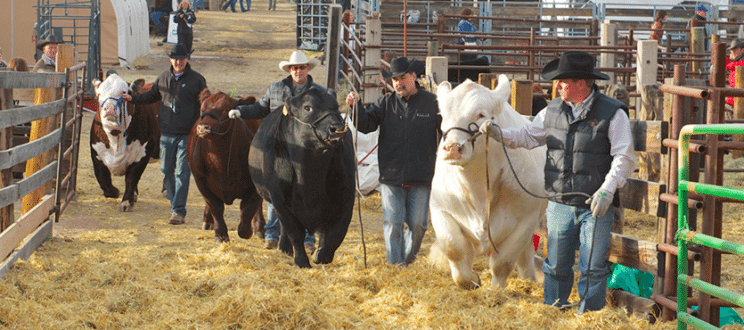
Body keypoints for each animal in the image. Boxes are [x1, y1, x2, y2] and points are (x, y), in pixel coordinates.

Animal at [185, 89, 264, 242]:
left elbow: (248, 208)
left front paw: (246, 231)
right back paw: (207, 221)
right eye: (202, 108)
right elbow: (215, 207)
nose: (202, 128)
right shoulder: (201, 181)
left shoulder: (256, 184)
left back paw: (259, 228)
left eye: (226, 110)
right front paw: (221, 235)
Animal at [248, 87, 356, 268]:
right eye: (307, 108)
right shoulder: (279, 199)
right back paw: (284, 248)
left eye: (336, 107)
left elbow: (337, 232)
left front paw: (321, 255)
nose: (337, 128)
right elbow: (294, 231)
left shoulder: (346, 198)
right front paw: (302, 261)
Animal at [430, 76, 548, 288]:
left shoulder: (525, 222)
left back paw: (528, 279)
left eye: (481, 114)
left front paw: (495, 290)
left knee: (524, 256)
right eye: (443, 115)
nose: (452, 148)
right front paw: (471, 280)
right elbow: (453, 248)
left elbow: (503, 263)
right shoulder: (441, 209)